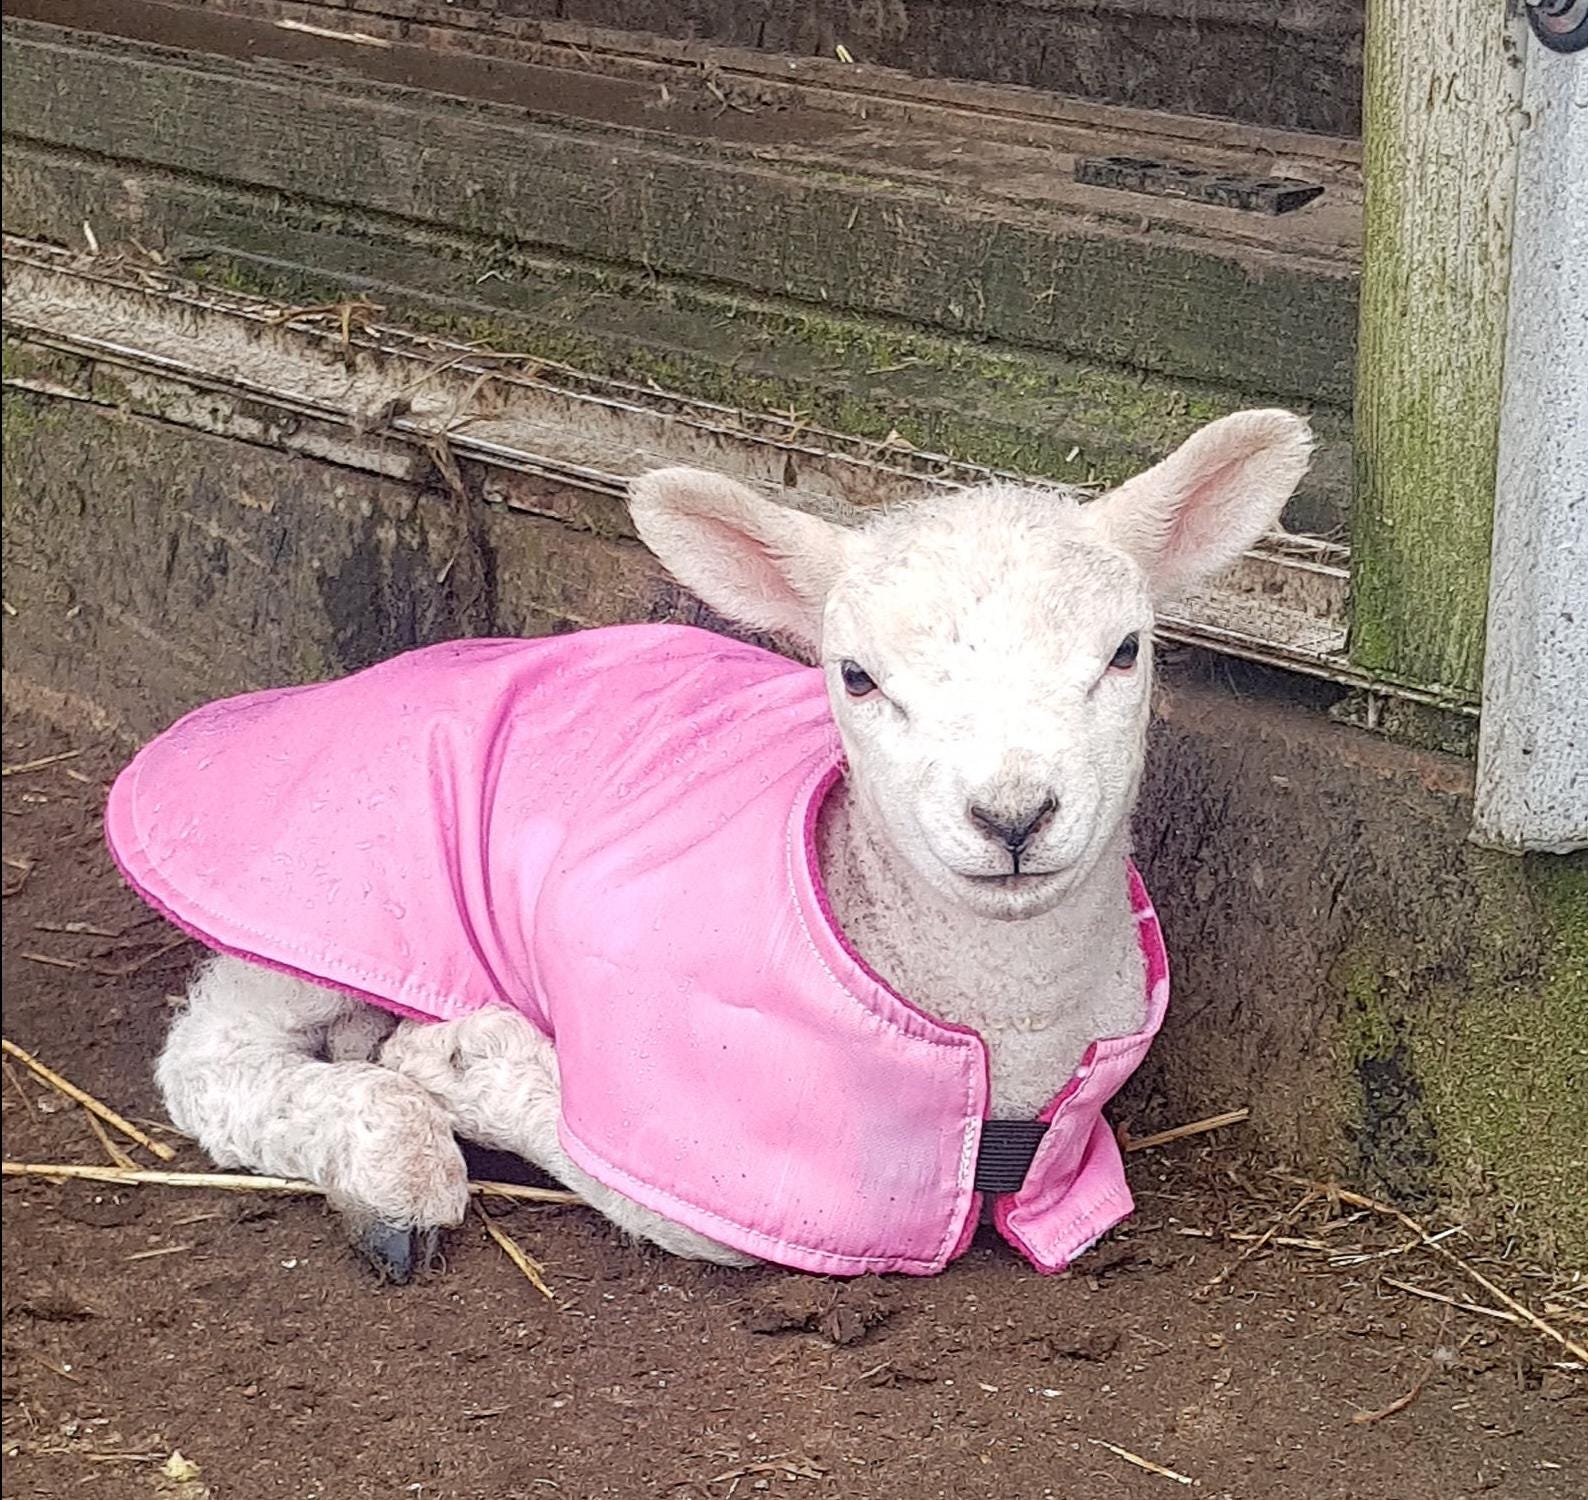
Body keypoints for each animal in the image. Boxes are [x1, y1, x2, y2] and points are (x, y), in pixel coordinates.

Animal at [117, 409, 1313, 1280]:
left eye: (1126, 651)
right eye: (855, 676)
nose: (1012, 814)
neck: (997, 1060)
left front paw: (445, 1057)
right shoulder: (687, 1136)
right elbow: (640, 1183)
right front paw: (456, 1061)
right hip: (325, 883)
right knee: (212, 1052)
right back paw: (390, 1162)